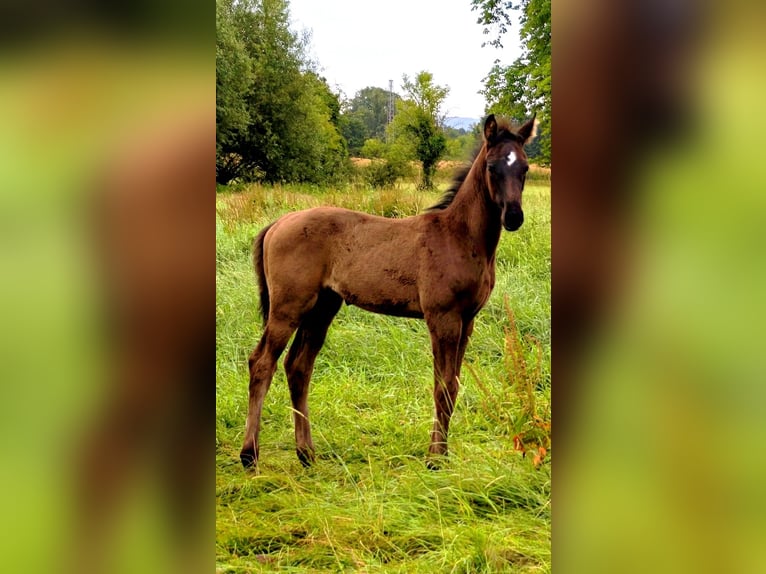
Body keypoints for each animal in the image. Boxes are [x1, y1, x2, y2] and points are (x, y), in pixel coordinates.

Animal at [240, 113, 538, 469]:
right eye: (492, 167)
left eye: (525, 168)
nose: (514, 217)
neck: (459, 237)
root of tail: (278, 223)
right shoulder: (442, 318)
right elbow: (441, 387)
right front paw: (434, 459)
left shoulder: (467, 321)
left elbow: (453, 386)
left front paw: (443, 455)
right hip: (289, 307)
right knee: (262, 363)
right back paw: (250, 455)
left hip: (322, 308)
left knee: (298, 367)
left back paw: (307, 453)